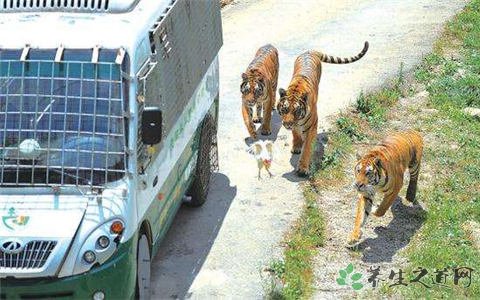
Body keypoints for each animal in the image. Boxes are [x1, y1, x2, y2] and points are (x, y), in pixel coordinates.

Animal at [276, 39, 370, 176]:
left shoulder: (311, 127)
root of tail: (309, 51)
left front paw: (303, 168)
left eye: (297, 111)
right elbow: (295, 133)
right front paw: (297, 145)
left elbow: (307, 148)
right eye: (284, 109)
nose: (288, 124)